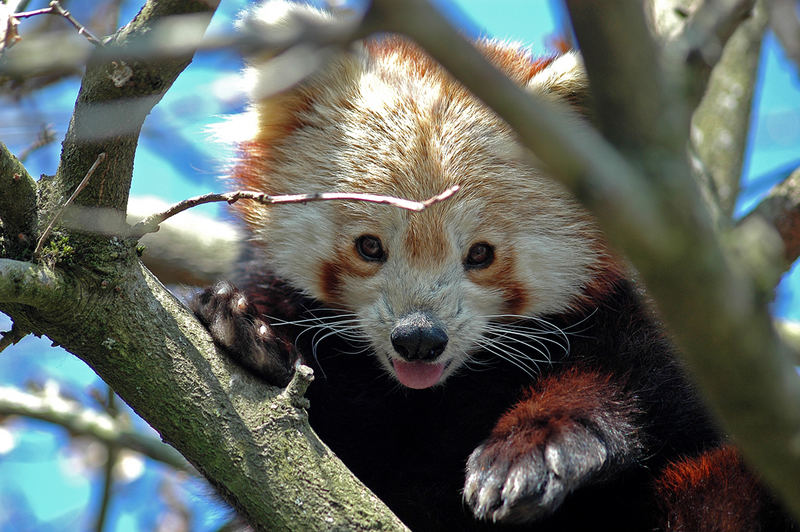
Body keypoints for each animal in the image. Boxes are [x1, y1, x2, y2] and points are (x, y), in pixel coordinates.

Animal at [192, 2, 792, 528]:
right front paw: (252, 328)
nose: (419, 339)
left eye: (480, 254)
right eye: (369, 247)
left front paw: (535, 449)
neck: (436, 396)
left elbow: (646, 389)